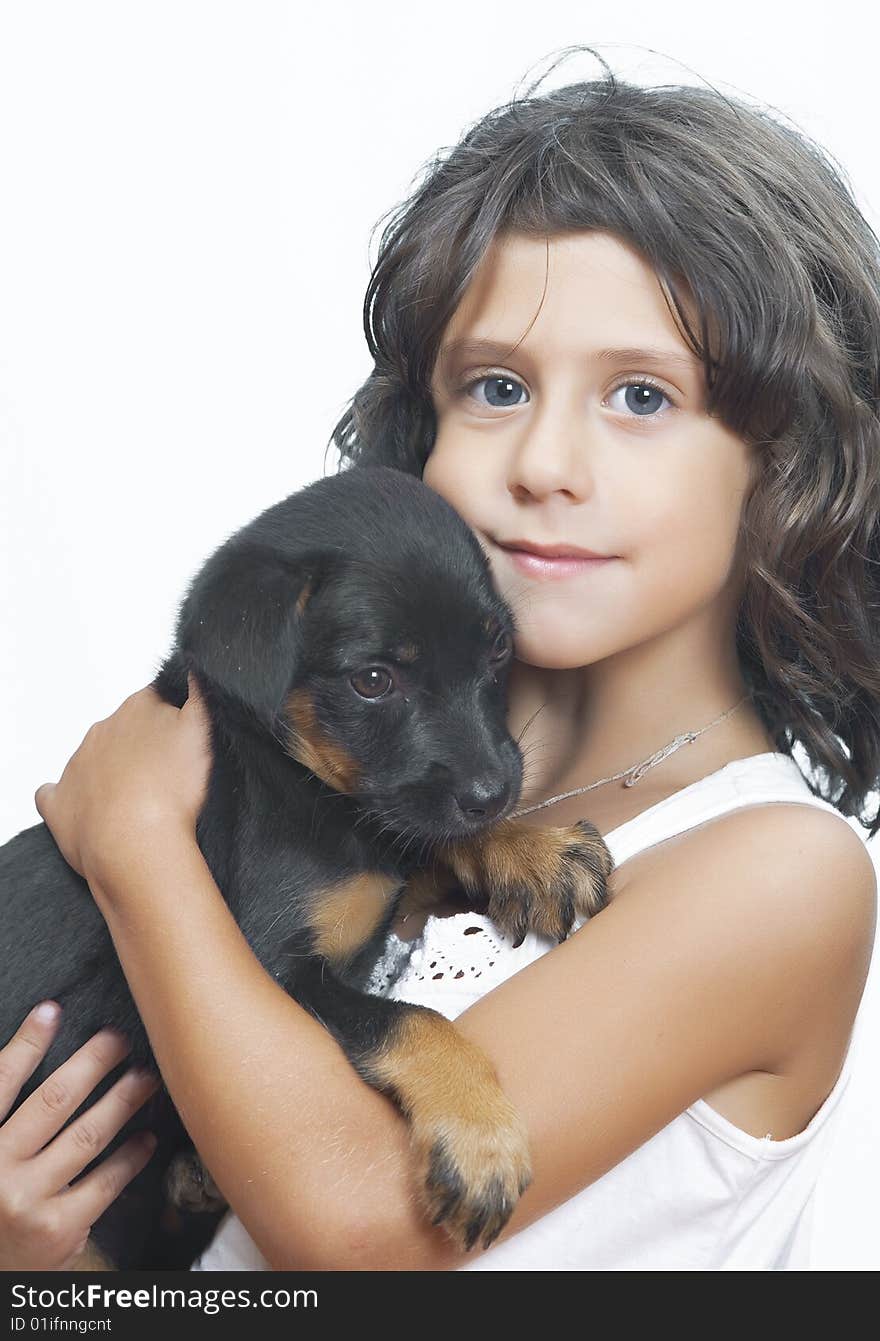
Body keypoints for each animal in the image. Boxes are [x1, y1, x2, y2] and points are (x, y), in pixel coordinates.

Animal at [1, 469, 611, 1265]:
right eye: (373, 680)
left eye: (500, 647)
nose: (496, 791)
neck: (299, 783)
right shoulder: (271, 969)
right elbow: (405, 1018)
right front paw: (480, 1137)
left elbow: (423, 838)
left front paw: (532, 851)